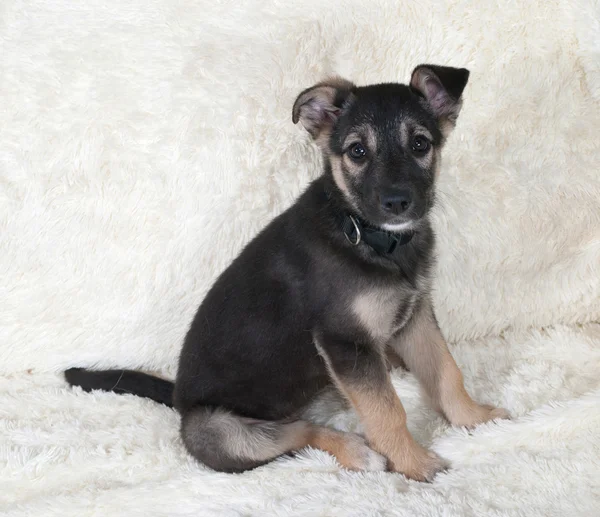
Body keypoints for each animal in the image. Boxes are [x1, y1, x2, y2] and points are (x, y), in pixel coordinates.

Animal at [65, 63, 508, 480]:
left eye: (420, 144)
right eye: (357, 151)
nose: (397, 202)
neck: (364, 234)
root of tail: (177, 400)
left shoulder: (415, 317)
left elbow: (447, 372)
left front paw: (474, 419)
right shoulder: (344, 340)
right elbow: (386, 409)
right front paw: (414, 463)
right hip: (216, 430)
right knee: (298, 433)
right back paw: (357, 451)